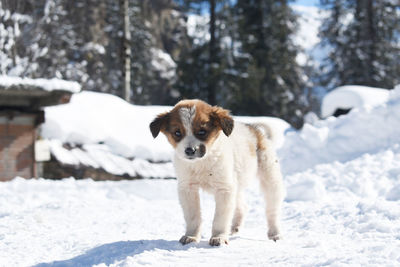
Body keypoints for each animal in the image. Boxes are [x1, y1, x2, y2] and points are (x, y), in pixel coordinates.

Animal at [150, 100, 284, 247]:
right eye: (177, 133)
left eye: (202, 131)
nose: (190, 150)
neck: (202, 163)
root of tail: (257, 132)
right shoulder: (188, 188)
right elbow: (193, 216)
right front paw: (191, 236)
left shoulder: (224, 189)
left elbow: (220, 217)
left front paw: (218, 237)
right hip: (236, 184)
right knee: (242, 206)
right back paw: (234, 227)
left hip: (270, 180)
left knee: (272, 210)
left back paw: (275, 233)